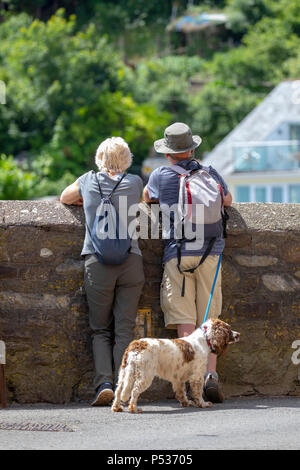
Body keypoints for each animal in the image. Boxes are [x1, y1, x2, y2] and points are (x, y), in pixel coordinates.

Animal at [111, 318, 240, 414]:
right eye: (228, 328)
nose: (238, 334)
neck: (203, 340)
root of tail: (136, 345)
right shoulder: (197, 376)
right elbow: (198, 392)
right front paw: (203, 404)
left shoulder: (179, 378)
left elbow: (181, 392)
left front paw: (186, 403)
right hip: (145, 376)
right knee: (134, 391)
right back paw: (134, 408)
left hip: (124, 373)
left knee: (118, 391)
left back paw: (117, 408)